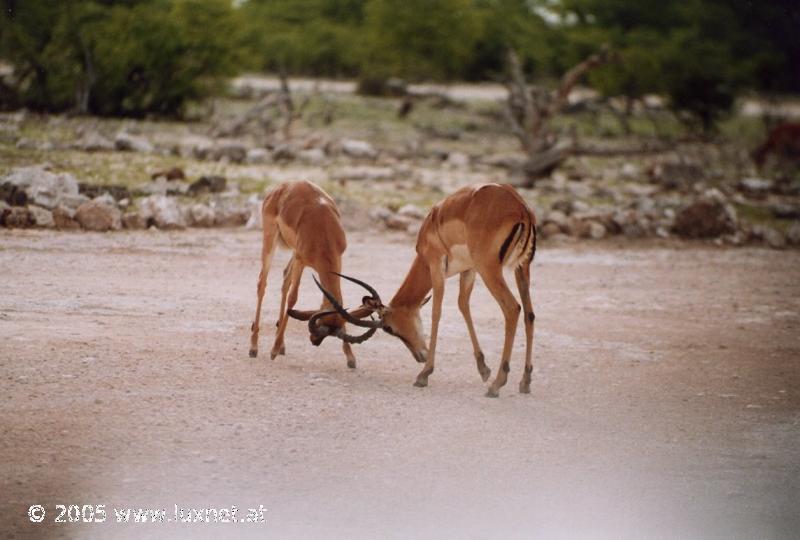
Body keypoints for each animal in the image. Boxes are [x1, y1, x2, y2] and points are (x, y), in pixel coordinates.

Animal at [248, 181, 374, 368]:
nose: (314, 341)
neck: (323, 229)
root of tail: (282, 187)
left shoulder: (338, 259)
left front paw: (350, 357)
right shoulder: (301, 260)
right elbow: (293, 299)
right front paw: (274, 350)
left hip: (292, 252)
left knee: (285, 278)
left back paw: (282, 345)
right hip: (271, 240)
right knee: (262, 283)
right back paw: (254, 347)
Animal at [316, 182, 536, 396]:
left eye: (388, 328)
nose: (419, 356)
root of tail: (521, 208)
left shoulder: (435, 266)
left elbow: (436, 312)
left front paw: (424, 374)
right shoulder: (468, 270)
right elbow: (462, 305)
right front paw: (483, 369)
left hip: (489, 269)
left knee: (512, 308)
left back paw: (496, 385)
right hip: (521, 267)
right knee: (529, 314)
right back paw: (524, 381)